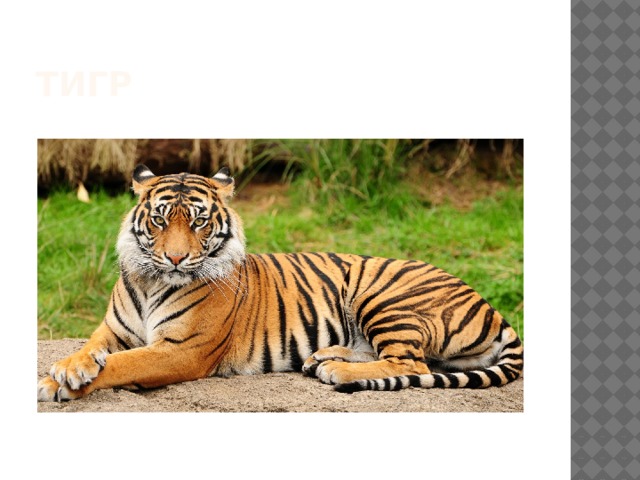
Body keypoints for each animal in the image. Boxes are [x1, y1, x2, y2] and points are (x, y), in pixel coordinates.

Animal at [37, 165, 523, 401]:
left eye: (198, 222)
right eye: (159, 220)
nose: (175, 258)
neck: (151, 280)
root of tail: (490, 305)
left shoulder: (181, 350)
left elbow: (123, 365)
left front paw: (58, 383)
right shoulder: (112, 330)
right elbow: (91, 349)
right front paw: (67, 369)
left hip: (383, 296)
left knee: (412, 363)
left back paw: (335, 369)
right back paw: (323, 357)